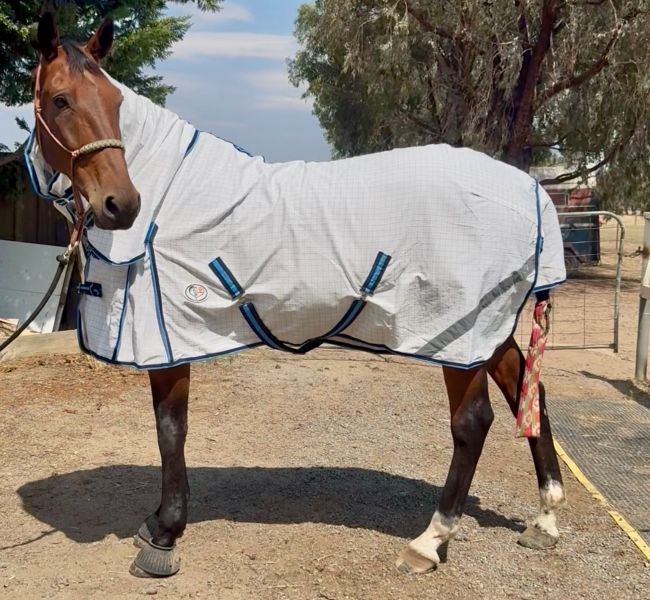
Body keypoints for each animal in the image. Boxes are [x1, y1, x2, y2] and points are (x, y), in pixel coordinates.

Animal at [28, 13, 566, 578]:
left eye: (115, 102)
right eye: (61, 100)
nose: (123, 204)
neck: (168, 199)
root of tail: (532, 192)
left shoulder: (167, 336)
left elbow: (170, 429)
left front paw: (165, 534)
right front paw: (158, 522)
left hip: (457, 335)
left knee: (472, 422)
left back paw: (428, 541)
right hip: (487, 328)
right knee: (527, 392)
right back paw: (545, 520)